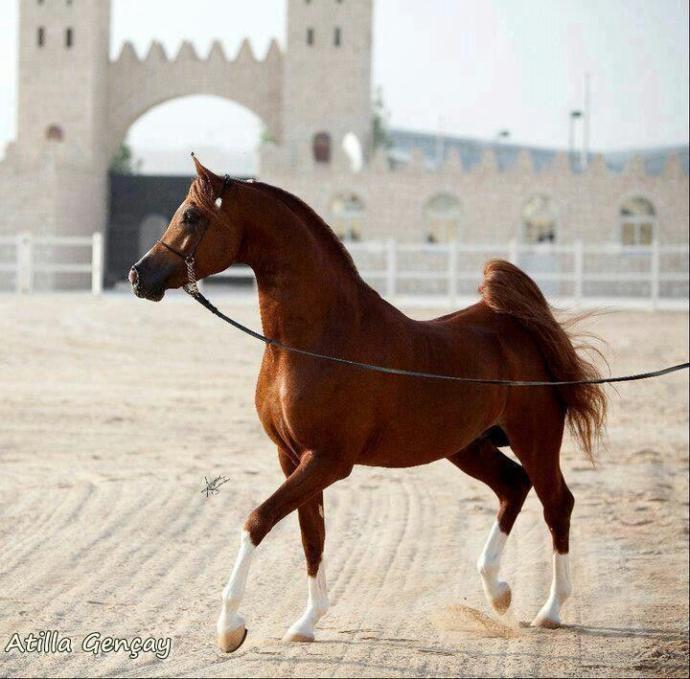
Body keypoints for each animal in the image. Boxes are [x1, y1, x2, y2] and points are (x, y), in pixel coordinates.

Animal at [129, 157, 607, 652]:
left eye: (190, 216)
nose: (139, 276)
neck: (314, 341)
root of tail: (516, 327)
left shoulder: (328, 460)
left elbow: (257, 520)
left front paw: (230, 627)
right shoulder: (292, 457)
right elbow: (311, 537)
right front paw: (306, 623)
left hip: (536, 439)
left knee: (557, 504)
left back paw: (550, 611)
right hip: (468, 446)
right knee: (513, 486)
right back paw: (498, 592)